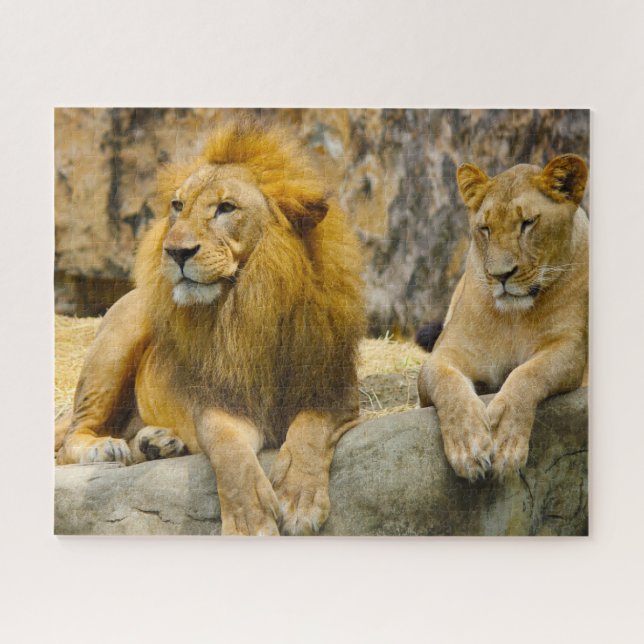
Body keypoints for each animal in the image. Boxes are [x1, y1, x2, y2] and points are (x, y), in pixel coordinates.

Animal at [56, 120, 366, 535]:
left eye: (226, 208)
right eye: (177, 206)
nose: (175, 252)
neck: (250, 308)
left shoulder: (334, 392)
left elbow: (309, 430)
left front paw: (299, 498)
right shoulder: (218, 402)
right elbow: (231, 455)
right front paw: (251, 522)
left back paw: (156, 442)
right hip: (119, 337)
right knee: (71, 438)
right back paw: (103, 447)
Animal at [417, 154, 588, 481]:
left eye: (528, 223)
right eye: (484, 228)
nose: (500, 275)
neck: (514, 319)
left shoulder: (570, 347)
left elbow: (528, 373)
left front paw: (506, 440)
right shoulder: (444, 354)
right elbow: (447, 384)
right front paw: (468, 445)